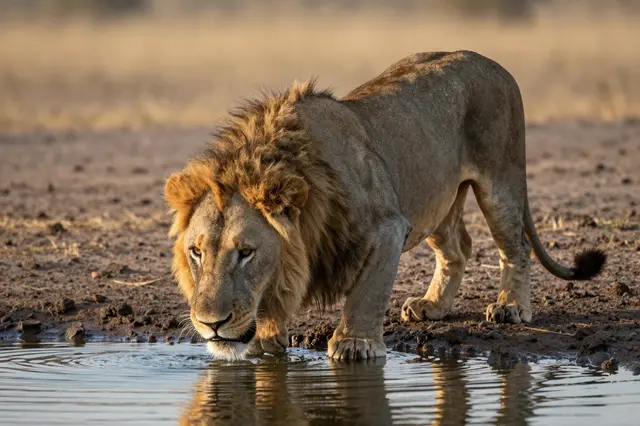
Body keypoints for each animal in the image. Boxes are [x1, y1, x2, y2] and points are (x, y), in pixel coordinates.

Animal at [165, 50, 605, 361]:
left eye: (246, 253)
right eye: (196, 252)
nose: (210, 324)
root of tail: (494, 63)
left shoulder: (389, 227)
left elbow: (367, 292)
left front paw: (354, 345)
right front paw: (266, 342)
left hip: (501, 183)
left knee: (516, 246)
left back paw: (510, 308)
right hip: (434, 198)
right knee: (458, 248)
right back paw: (432, 306)